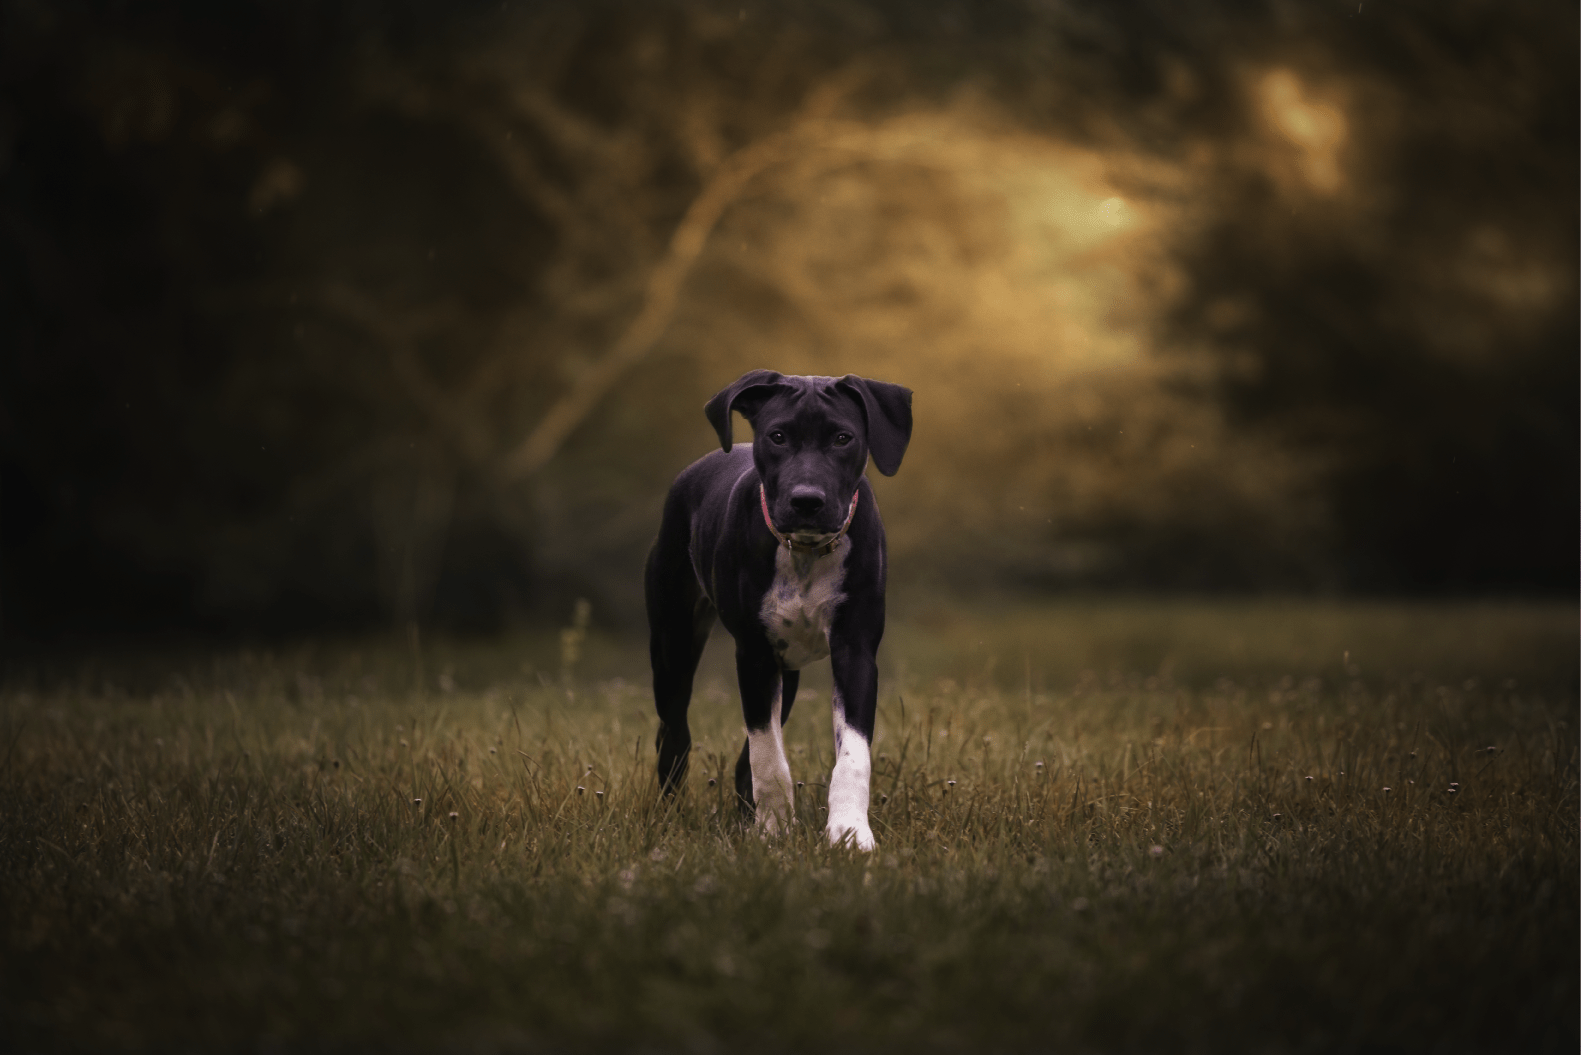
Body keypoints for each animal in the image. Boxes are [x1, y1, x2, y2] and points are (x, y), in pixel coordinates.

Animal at [645, 371, 916, 847]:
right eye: (777, 436)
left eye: (843, 438)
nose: (807, 500)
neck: (805, 552)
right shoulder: (754, 655)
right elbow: (767, 755)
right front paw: (773, 831)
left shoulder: (856, 650)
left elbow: (852, 754)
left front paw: (849, 832)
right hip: (673, 645)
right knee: (674, 733)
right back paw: (671, 816)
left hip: (786, 674)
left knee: (739, 757)